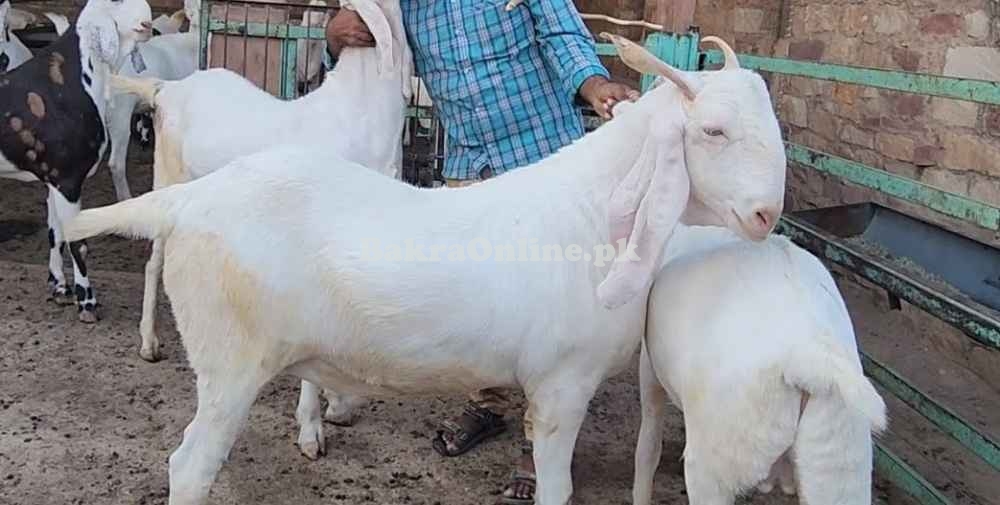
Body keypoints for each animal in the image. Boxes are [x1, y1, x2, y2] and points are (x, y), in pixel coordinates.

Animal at [0, 0, 152, 320]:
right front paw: (87, 302)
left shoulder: (53, 180)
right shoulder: (68, 178)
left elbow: (55, 232)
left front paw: (59, 287)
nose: (147, 25)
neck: (73, 79)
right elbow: (77, 242)